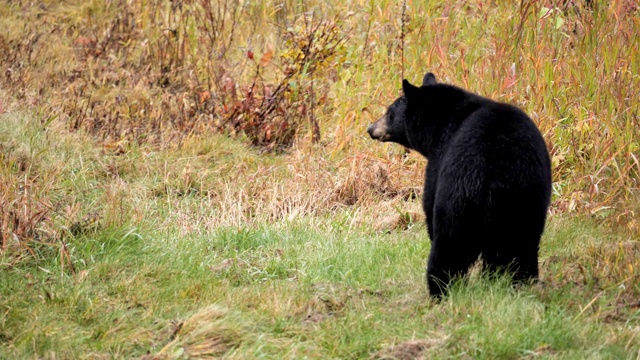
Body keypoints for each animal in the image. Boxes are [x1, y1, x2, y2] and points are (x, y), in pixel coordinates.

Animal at [368, 73, 552, 298]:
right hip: (525, 200)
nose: (370, 128)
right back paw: (518, 281)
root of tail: (493, 172)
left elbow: (428, 203)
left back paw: (440, 290)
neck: (439, 124)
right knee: (521, 244)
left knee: (449, 248)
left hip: (458, 199)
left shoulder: (437, 163)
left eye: (390, 113)